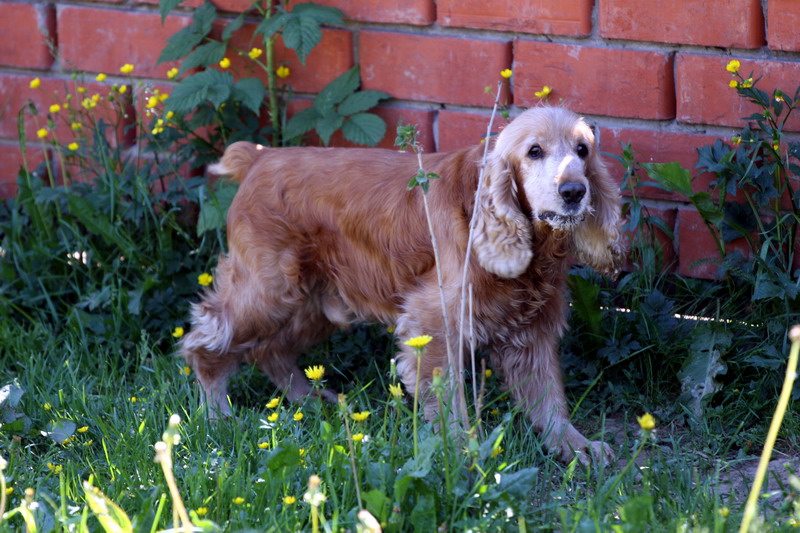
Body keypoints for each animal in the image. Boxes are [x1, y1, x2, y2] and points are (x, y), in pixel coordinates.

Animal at [181, 106, 624, 460]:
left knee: (270, 349)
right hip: (268, 290)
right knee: (207, 339)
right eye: (534, 151)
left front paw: (575, 446)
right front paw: (460, 450)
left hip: (316, 302)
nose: (574, 191)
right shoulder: (434, 323)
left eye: (582, 150)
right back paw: (217, 415)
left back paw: (312, 400)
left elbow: (548, 396)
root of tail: (260, 156)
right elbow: (448, 399)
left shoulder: (534, 329)